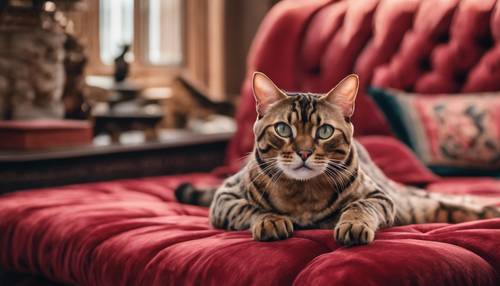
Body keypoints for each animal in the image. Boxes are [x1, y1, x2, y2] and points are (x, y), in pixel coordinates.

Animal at [175, 72, 496, 246]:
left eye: (325, 131)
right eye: (283, 129)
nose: (305, 152)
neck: (302, 196)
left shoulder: (380, 197)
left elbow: (359, 206)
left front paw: (353, 224)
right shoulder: (225, 197)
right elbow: (250, 208)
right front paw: (270, 220)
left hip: (411, 201)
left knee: (457, 202)